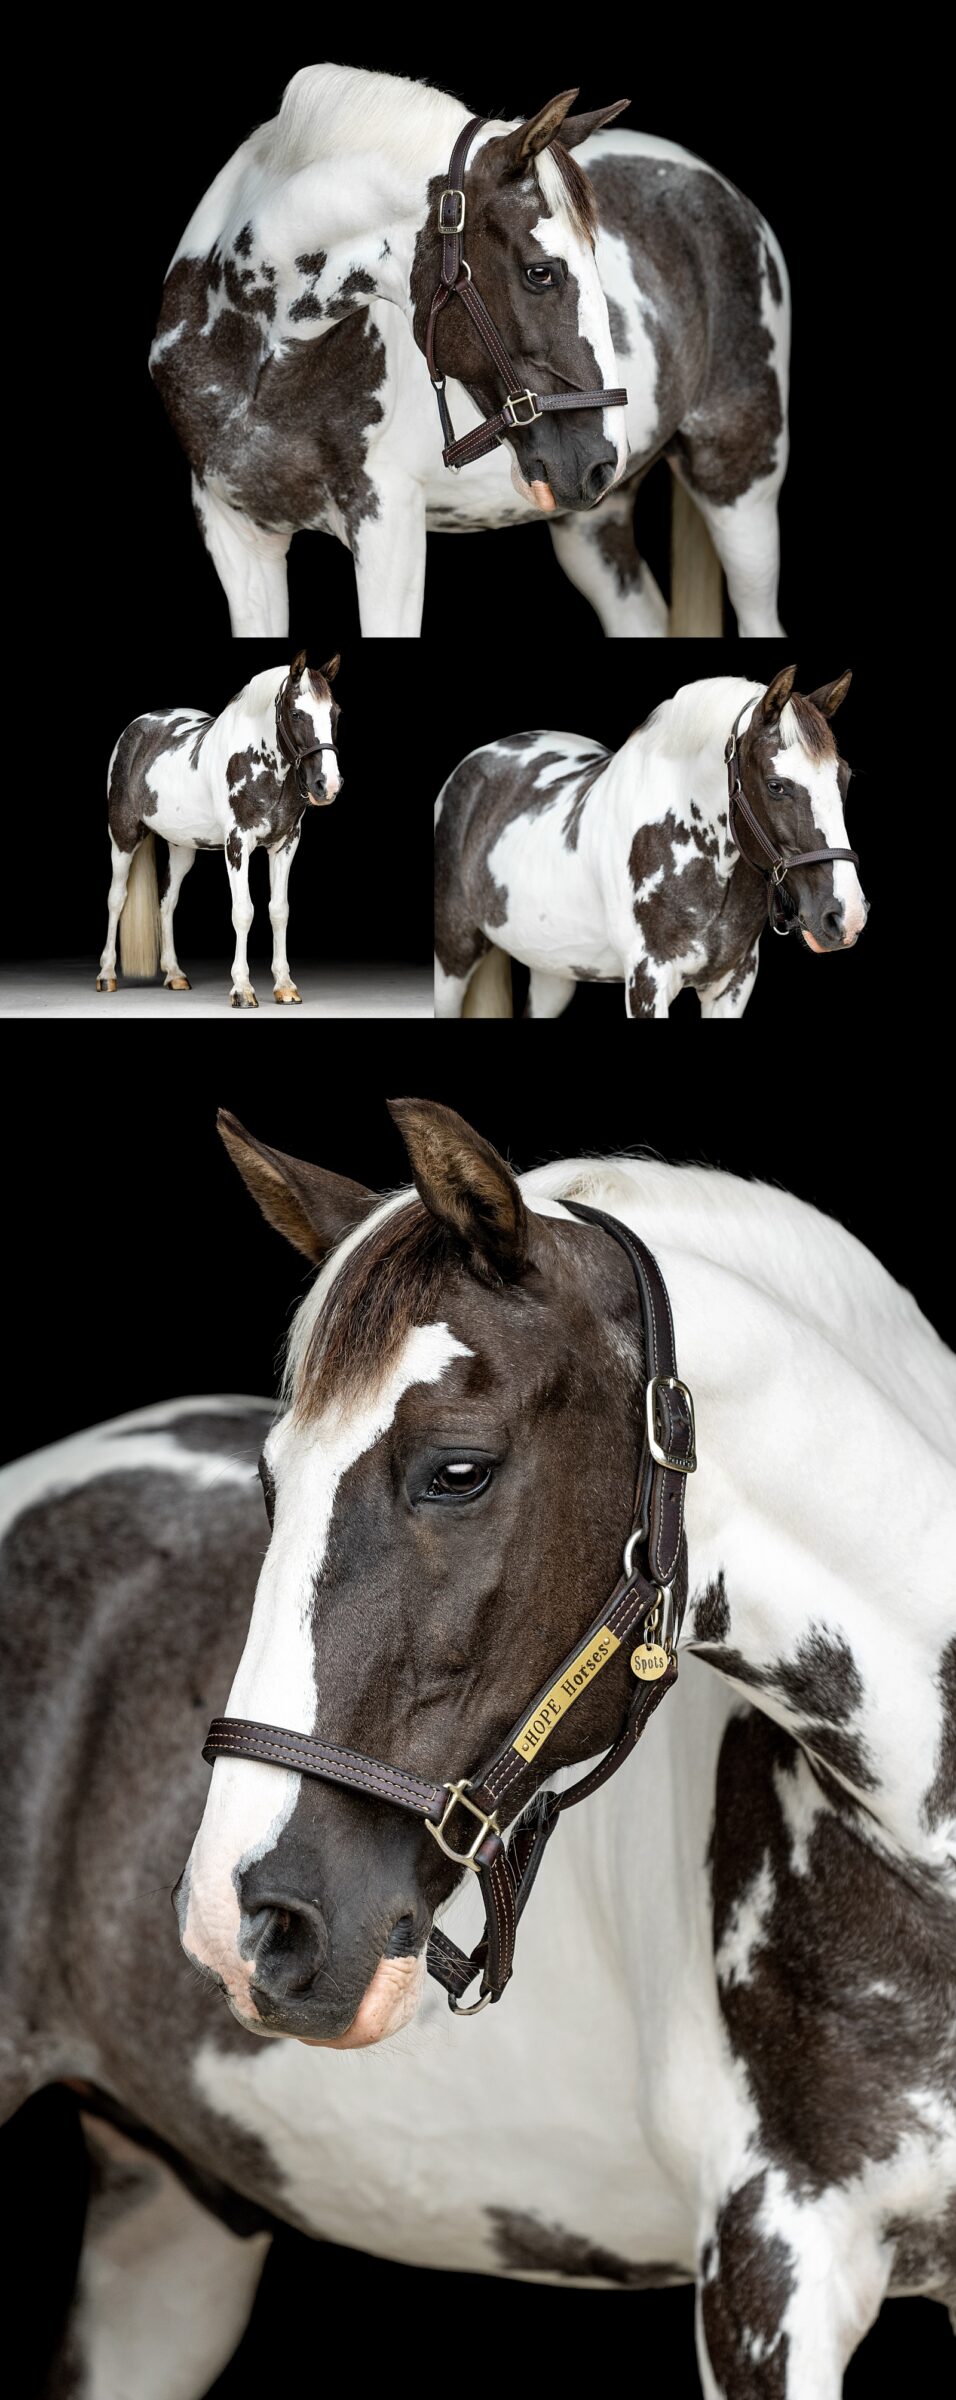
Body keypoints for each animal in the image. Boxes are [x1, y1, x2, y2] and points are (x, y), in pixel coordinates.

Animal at [99, 652, 338, 1008]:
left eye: (335, 712)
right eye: (296, 714)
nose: (327, 785)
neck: (260, 762)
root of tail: (137, 728)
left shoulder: (285, 844)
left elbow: (279, 911)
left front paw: (285, 985)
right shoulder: (237, 844)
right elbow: (243, 912)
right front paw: (242, 988)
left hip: (182, 847)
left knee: (167, 902)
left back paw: (175, 974)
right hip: (123, 835)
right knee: (117, 898)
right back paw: (106, 975)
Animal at [149, 68, 787, 638]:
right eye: (541, 273)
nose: (604, 459)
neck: (260, 371)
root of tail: (723, 192)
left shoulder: (388, 527)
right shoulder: (236, 537)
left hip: (741, 487)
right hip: (593, 525)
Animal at [432, 667, 864, 1022]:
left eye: (844, 777)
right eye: (776, 786)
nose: (846, 917)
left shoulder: (732, 983)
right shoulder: (646, 980)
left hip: (551, 967)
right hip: (451, 959)